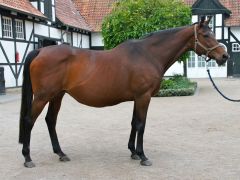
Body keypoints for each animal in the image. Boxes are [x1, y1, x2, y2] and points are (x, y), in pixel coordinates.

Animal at [18, 16, 229, 168]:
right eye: (206, 35)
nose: (224, 55)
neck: (148, 54)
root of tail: (40, 51)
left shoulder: (138, 98)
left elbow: (134, 123)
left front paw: (133, 152)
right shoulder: (144, 97)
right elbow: (141, 125)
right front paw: (143, 156)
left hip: (57, 95)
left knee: (50, 121)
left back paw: (61, 154)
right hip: (43, 96)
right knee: (29, 121)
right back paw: (28, 158)